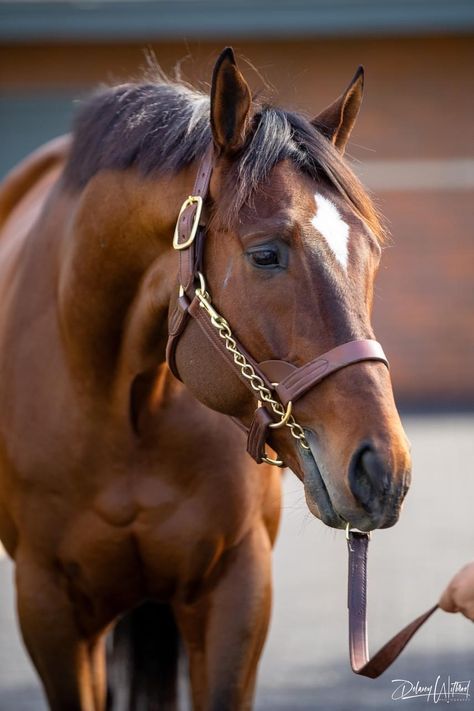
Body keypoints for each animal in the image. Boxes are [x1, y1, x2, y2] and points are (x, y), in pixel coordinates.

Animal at [0, 50, 410, 711]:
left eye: (370, 253)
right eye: (265, 254)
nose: (383, 470)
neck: (124, 404)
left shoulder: (236, 592)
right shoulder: (49, 609)